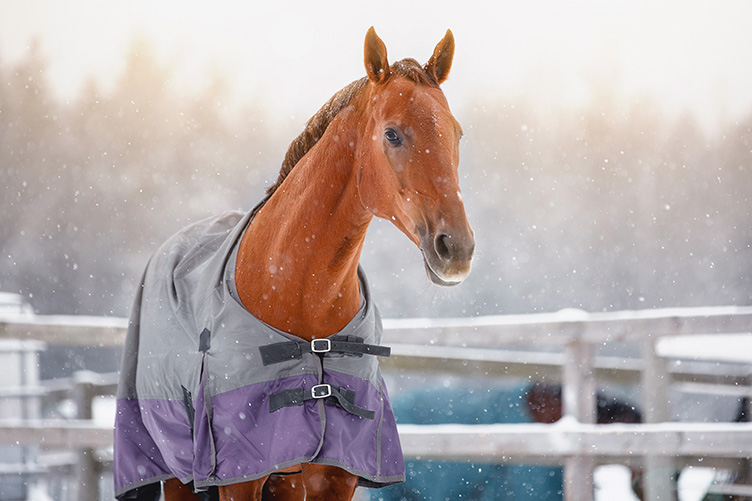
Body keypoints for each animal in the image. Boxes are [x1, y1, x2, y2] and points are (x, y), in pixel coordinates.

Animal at [113, 27, 474, 501]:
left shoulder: (335, 474)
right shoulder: (241, 475)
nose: (457, 249)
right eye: (393, 134)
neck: (302, 298)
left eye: (457, 134)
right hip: (178, 474)